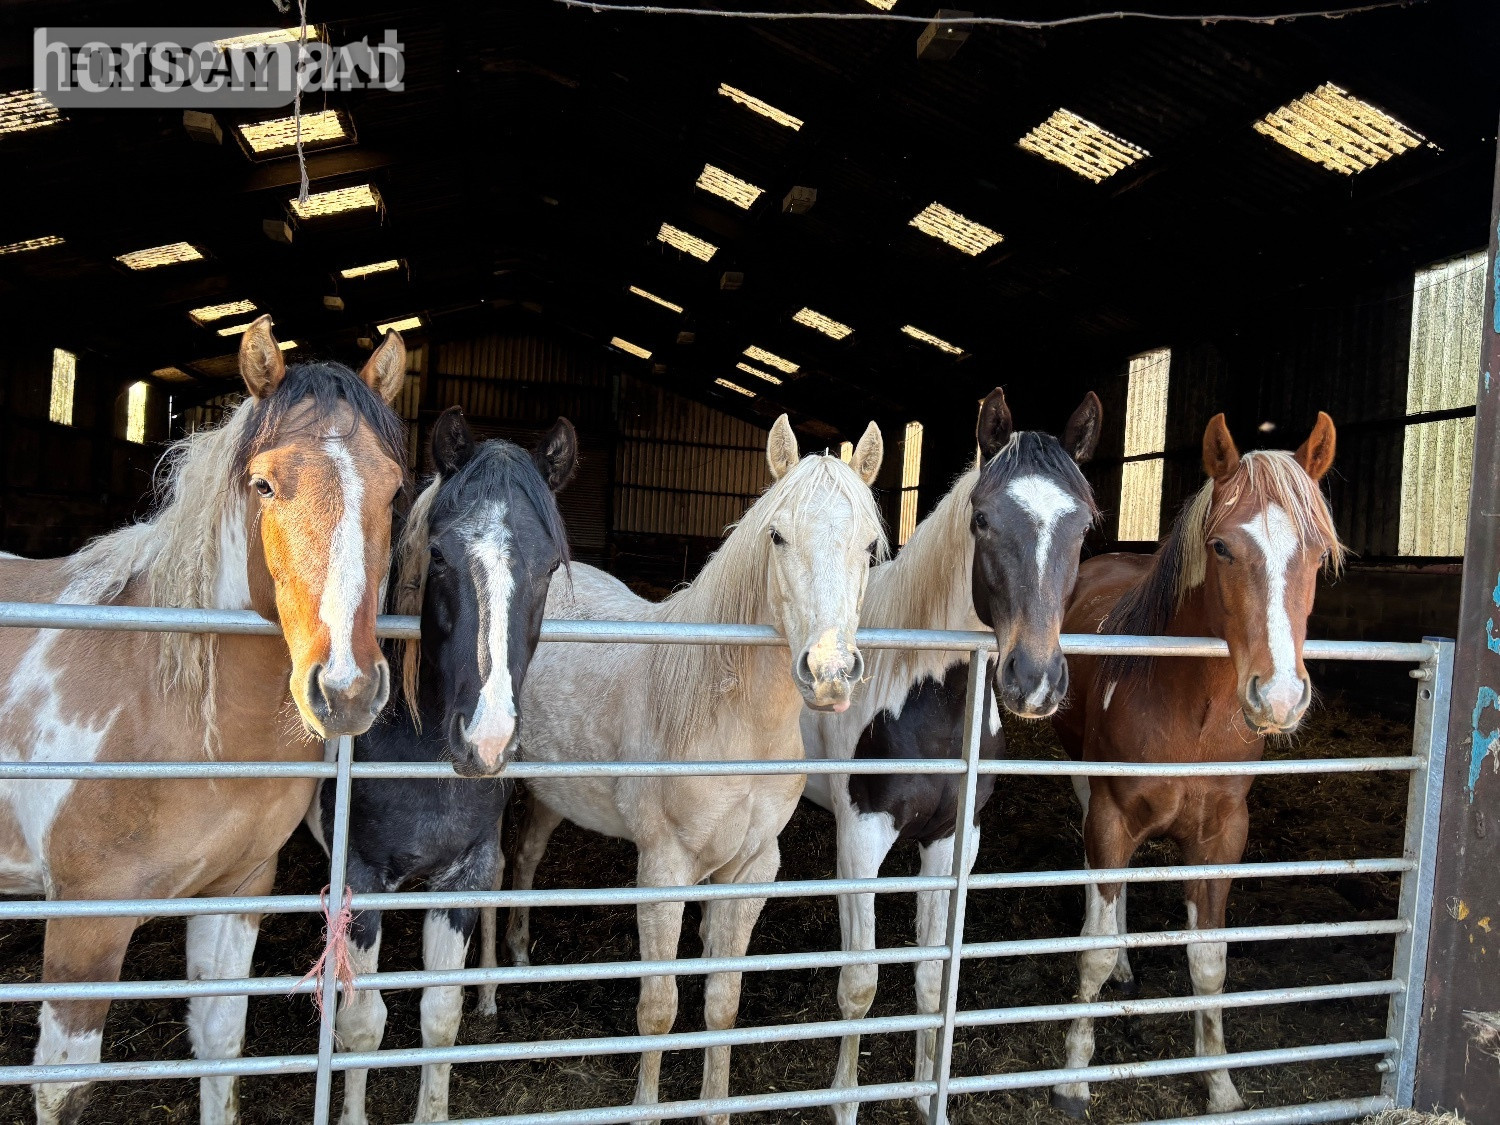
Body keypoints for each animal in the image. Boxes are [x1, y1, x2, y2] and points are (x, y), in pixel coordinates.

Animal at [0, 317, 410, 1125]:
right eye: (265, 484)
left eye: (393, 491)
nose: (346, 688)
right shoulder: (86, 923)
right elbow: (61, 1088)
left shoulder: (236, 893)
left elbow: (220, 1045)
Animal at [309, 406, 577, 1125]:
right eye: (438, 555)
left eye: (549, 567)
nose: (487, 741)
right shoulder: (359, 879)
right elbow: (364, 1024)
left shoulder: (462, 873)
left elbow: (439, 1014)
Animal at [495, 416, 885, 1124]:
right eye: (777, 534)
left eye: (869, 547)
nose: (829, 673)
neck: (729, 718)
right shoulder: (663, 869)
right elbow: (658, 1009)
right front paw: (647, 1109)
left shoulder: (752, 870)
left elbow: (722, 1004)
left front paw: (715, 1109)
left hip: (550, 793)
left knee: (528, 857)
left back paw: (514, 959)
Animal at [800, 388, 1102, 1124]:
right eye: (984, 519)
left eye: (1084, 527)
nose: (1034, 678)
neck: (924, 696)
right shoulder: (860, 837)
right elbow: (858, 984)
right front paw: (845, 1104)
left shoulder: (952, 838)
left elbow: (934, 975)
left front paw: (920, 1094)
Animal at [1049, 411, 1342, 1118]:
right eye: (1223, 548)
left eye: (1319, 553)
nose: (1279, 696)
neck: (1193, 711)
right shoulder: (1112, 817)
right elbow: (1093, 952)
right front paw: (1073, 1080)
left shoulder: (1221, 836)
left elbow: (1209, 961)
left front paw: (1221, 1083)